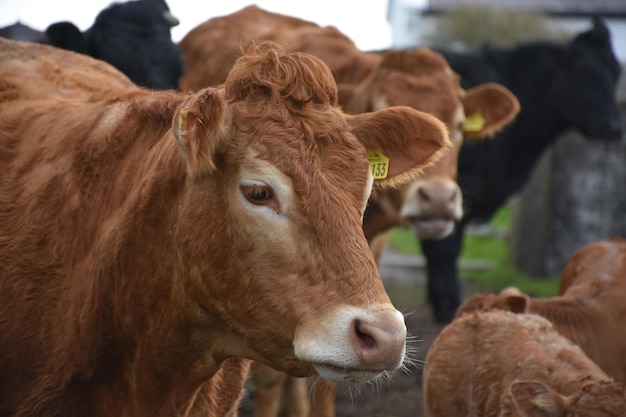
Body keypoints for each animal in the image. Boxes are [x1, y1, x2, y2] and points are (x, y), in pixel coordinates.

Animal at [416, 17, 620, 322]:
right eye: (582, 72)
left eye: (617, 71)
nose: (614, 127)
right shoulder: (461, 185)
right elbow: (445, 247)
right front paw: (447, 305)